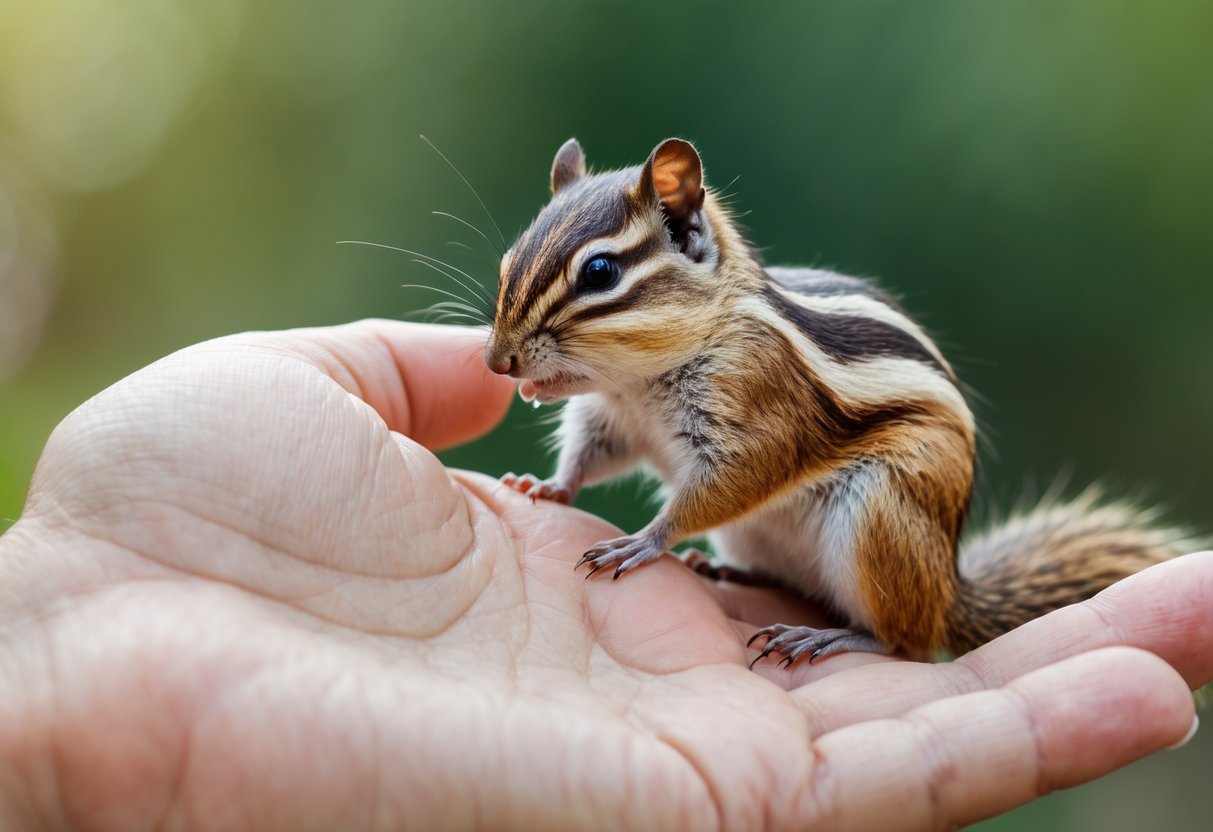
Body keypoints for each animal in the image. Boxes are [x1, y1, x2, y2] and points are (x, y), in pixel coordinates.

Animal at [484, 137, 1195, 665]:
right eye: (508, 259)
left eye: (600, 272)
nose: (498, 362)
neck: (642, 380)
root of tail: (947, 592)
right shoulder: (612, 417)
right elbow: (589, 456)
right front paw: (547, 486)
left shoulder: (758, 408)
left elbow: (729, 481)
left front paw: (643, 541)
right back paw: (738, 575)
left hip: (879, 514)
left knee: (903, 642)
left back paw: (824, 635)